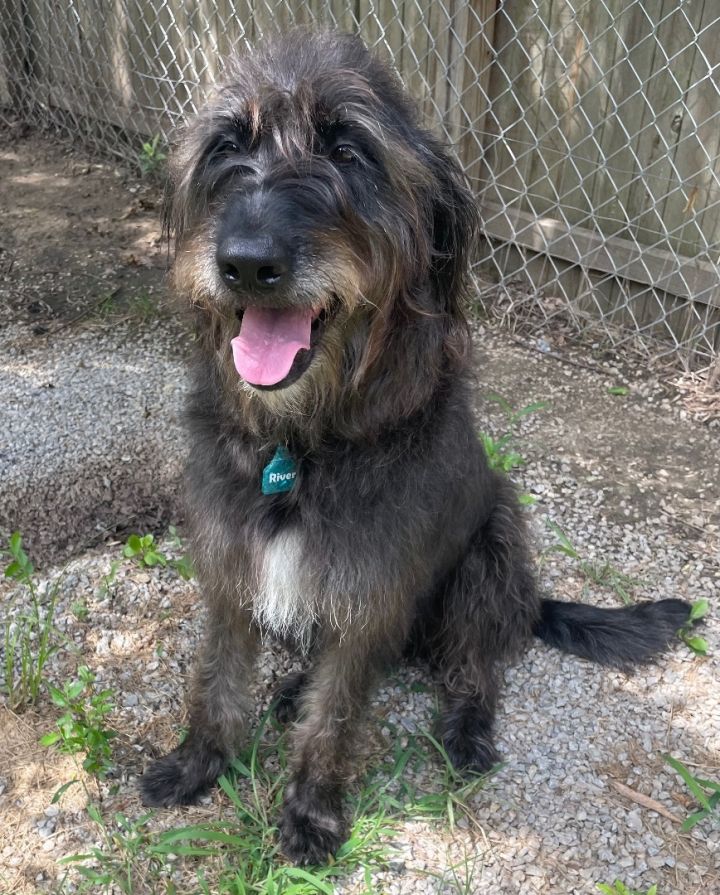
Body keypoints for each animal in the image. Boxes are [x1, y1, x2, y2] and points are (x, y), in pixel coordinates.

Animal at [141, 31, 692, 864]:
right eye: (228, 145)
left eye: (349, 150)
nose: (245, 262)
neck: (302, 444)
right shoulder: (233, 569)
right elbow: (218, 680)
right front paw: (198, 762)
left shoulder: (371, 591)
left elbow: (337, 715)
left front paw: (312, 810)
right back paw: (295, 685)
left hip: (490, 554)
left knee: (474, 667)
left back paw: (464, 728)